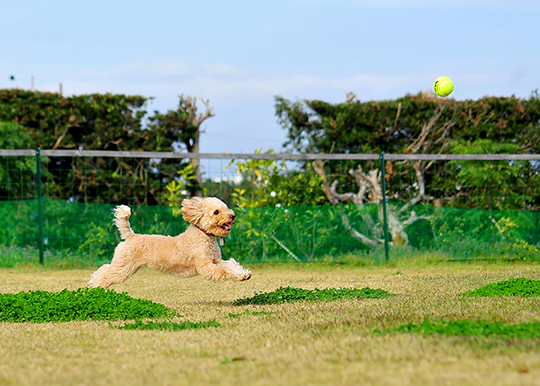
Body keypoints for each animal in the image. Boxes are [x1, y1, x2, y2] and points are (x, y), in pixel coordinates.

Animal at [87, 198, 252, 288]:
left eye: (226, 208)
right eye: (216, 212)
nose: (233, 216)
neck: (203, 235)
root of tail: (131, 235)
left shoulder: (216, 260)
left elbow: (230, 264)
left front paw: (244, 274)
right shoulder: (206, 266)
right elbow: (225, 270)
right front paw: (241, 275)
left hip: (123, 265)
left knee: (104, 268)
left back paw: (91, 282)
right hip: (124, 267)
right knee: (106, 276)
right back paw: (96, 286)